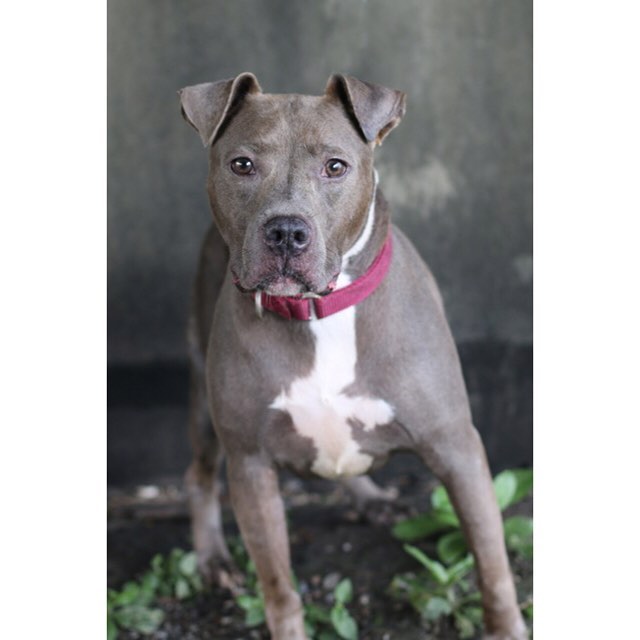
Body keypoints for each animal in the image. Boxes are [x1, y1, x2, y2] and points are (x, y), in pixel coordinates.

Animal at [176, 72, 524, 636]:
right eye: (242, 164)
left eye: (335, 166)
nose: (286, 231)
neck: (321, 314)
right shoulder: (250, 465)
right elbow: (278, 587)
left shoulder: (456, 446)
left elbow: (491, 562)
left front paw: (506, 627)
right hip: (205, 408)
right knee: (199, 475)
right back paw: (211, 559)